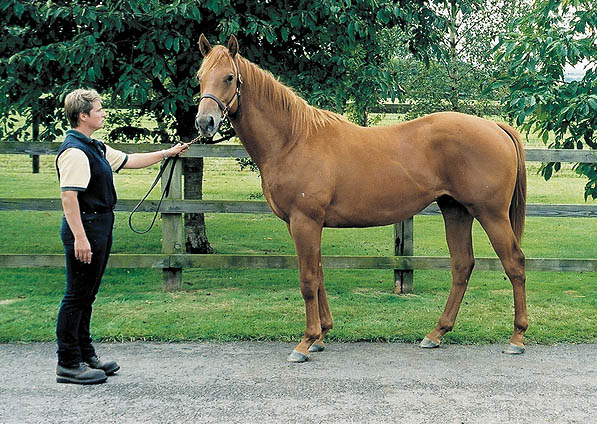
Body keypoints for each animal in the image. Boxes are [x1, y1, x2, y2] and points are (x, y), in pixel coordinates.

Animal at [196, 34, 528, 362]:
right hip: (456, 211)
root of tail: (495, 126)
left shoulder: (305, 221)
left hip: (491, 214)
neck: (293, 139)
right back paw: (436, 333)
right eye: (199, 77)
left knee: (514, 263)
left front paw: (305, 342)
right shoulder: (302, 224)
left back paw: (517, 338)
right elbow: (319, 274)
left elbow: (308, 279)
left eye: (229, 77)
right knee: (462, 265)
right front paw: (322, 335)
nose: (204, 123)